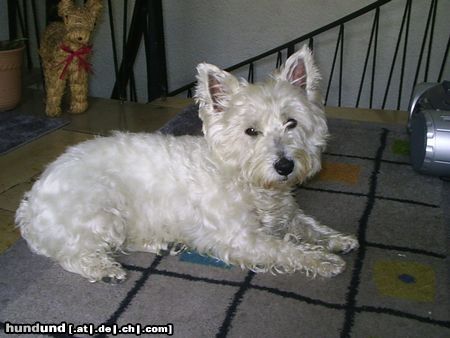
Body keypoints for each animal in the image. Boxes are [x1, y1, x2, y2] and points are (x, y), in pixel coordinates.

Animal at [15, 45, 358, 282]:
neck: (246, 180)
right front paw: (324, 260)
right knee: (73, 253)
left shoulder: (286, 212)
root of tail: (29, 206)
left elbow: (307, 224)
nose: (285, 166)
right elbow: (284, 248)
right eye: (251, 131)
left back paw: (159, 244)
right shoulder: (241, 238)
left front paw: (340, 240)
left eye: (291, 123)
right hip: (103, 211)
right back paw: (105, 269)